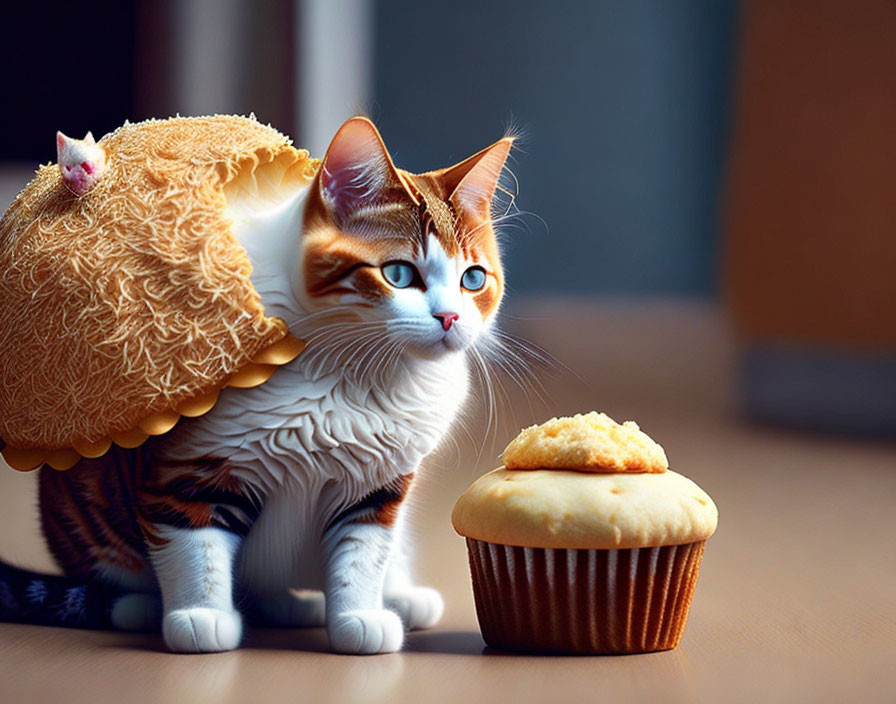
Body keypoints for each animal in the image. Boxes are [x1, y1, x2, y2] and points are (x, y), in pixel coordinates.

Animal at [0, 119, 516, 656]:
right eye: (398, 273)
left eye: (473, 278)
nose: (451, 318)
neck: (352, 373)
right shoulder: (191, 466)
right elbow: (194, 545)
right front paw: (201, 617)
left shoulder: (378, 483)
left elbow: (362, 554)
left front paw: (358, 617)